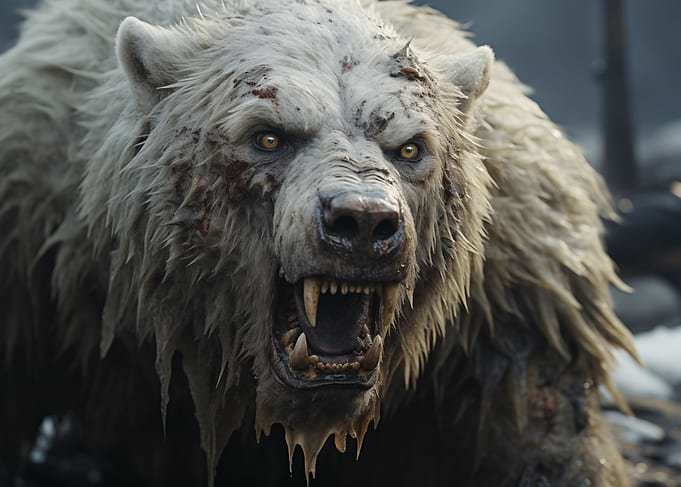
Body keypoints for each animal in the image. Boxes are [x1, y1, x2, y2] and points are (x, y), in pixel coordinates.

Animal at [0, 0, 637, 485]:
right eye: (268, 136)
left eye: (410, 146)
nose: (362, 221)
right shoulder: (35, 243)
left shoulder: (513, 288)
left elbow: (544, 425)